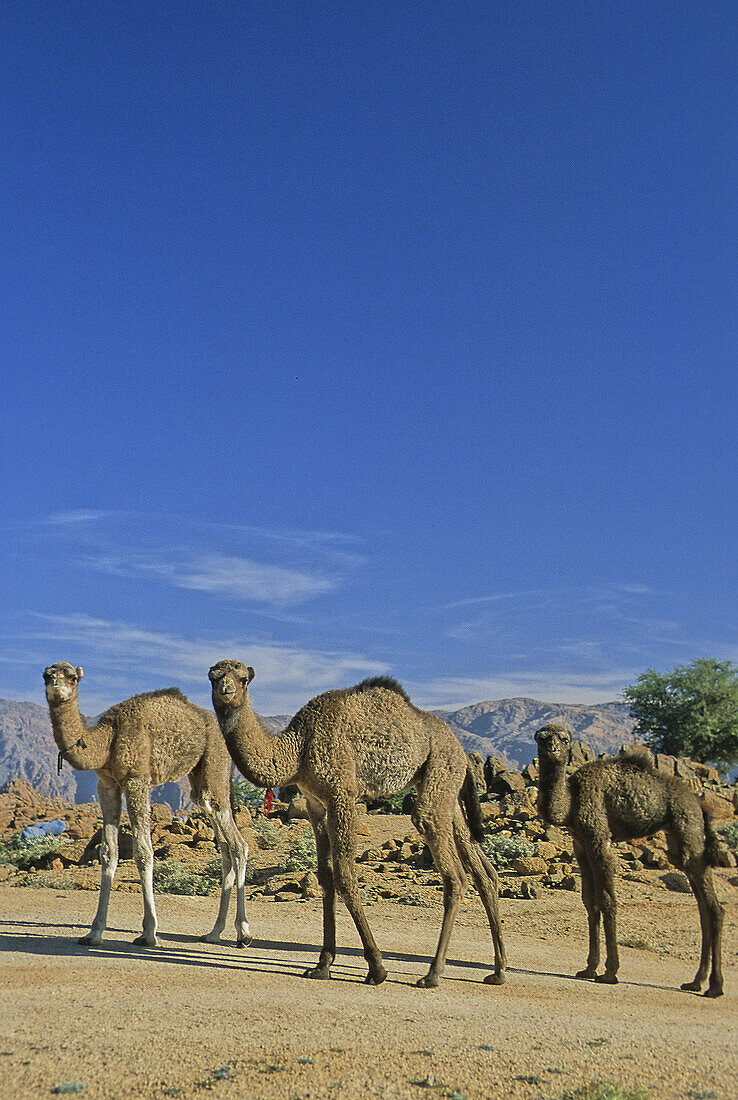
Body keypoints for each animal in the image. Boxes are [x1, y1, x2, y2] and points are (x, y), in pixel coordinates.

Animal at [43, 655, 250, 950]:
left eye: (72, 677)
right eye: (45, 675)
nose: (55, 685)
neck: (108, 740)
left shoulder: (136, 780)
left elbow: (143, 852)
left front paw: (149, 932)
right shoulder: (107, 784)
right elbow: (108, 852)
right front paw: (94, 932)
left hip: (216, 763)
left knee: (238, 844)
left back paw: (243, 933)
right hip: (200, 785)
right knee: (224, 847)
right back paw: (214, 932)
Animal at [208, 660, 508, 990]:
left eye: (243, 679)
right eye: (213, 676)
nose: (225, 689)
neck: (299, 748)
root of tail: (461, 749)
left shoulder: (342, 793)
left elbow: (345, 877)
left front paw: (377, 968)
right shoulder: (316, 804)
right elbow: (326, 877)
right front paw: (322, 964)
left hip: (438, 772)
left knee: (453, 872)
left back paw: (432, 974)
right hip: (447, 791)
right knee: (483, 871)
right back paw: (498, 971)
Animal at [534, 721, 725, 998]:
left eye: (565, 739)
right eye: (541, 737)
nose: (553, 748)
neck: (571, 802)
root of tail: (699, 804)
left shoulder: (599, 837)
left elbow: (607, 899)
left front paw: (610, 972)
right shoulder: (580, 843)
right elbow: (589, 901)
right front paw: (588, 969)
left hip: (687, 828)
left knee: (713, 906)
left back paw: (715, 986)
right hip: (679, 842)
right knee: (702, 906)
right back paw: (696, 982)